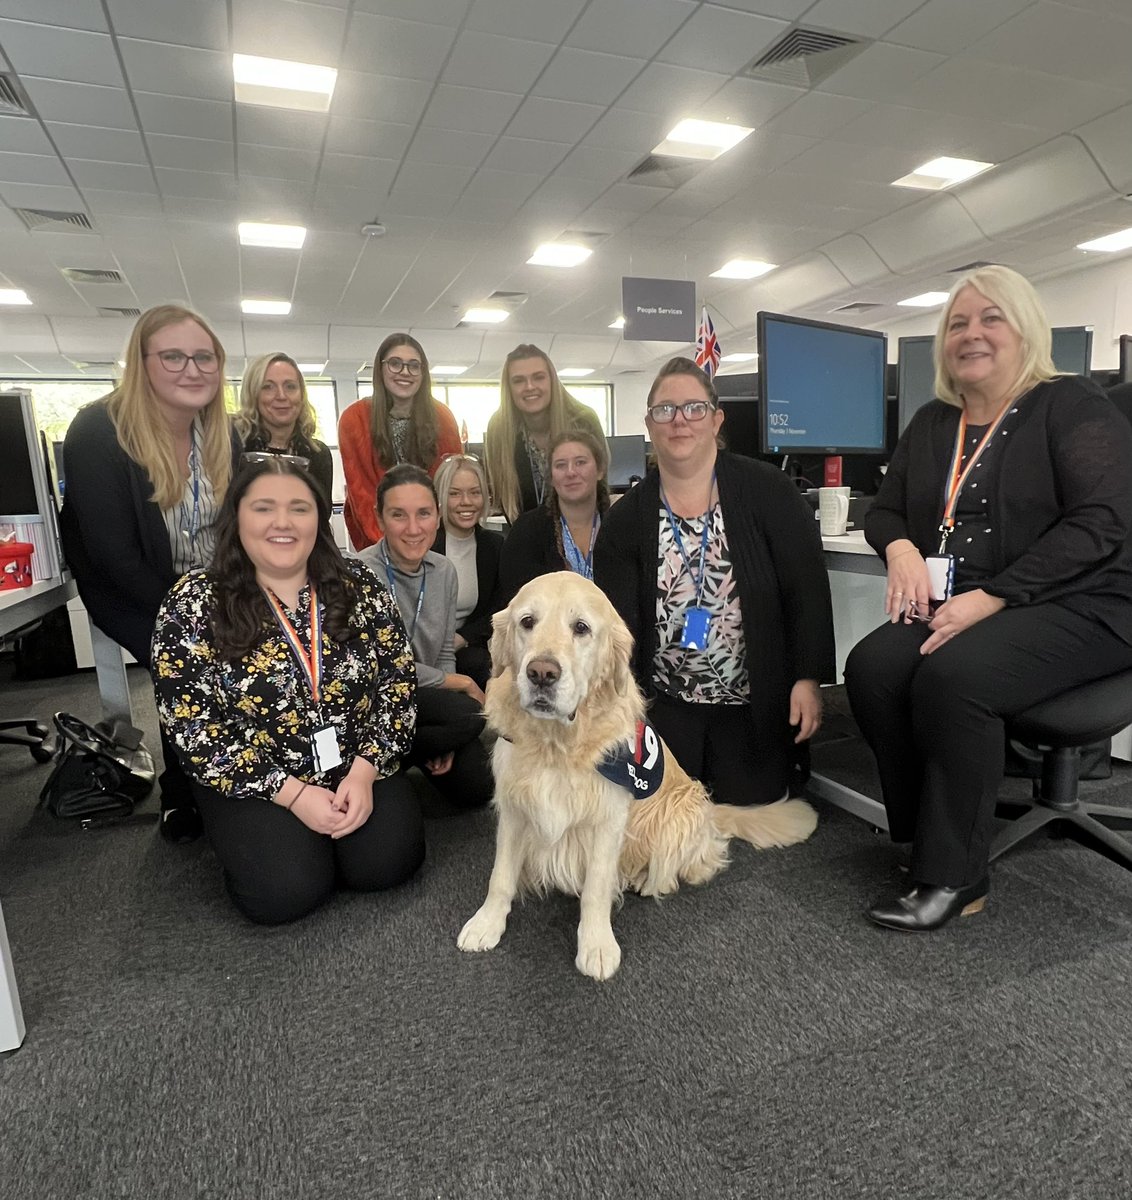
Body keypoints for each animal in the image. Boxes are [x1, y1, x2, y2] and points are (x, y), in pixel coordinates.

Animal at [456, 568, 821, 974]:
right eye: (527, 622)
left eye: (581, 627)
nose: (541, 673)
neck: (556, 745)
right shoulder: (515, 809)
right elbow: (501, 876)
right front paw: (486, 923)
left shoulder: (608, 819)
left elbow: (596, 888)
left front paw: (597, 946)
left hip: (679, 811)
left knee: (690, 869)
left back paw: (648, 880)